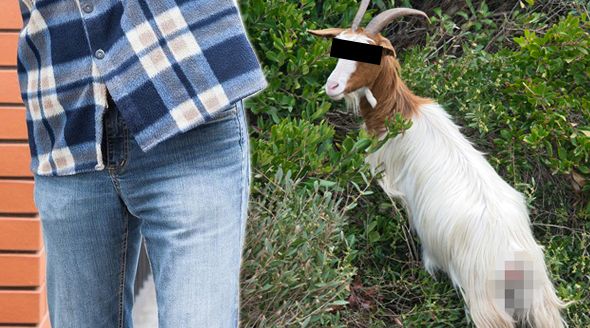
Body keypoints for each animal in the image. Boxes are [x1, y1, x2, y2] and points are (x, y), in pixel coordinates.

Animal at [310, 1, 572, 326]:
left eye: (368, 54)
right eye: (340, 44)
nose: (332, 86)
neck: (398, 116)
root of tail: (517, 260)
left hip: (485, 303)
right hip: (541, 304)